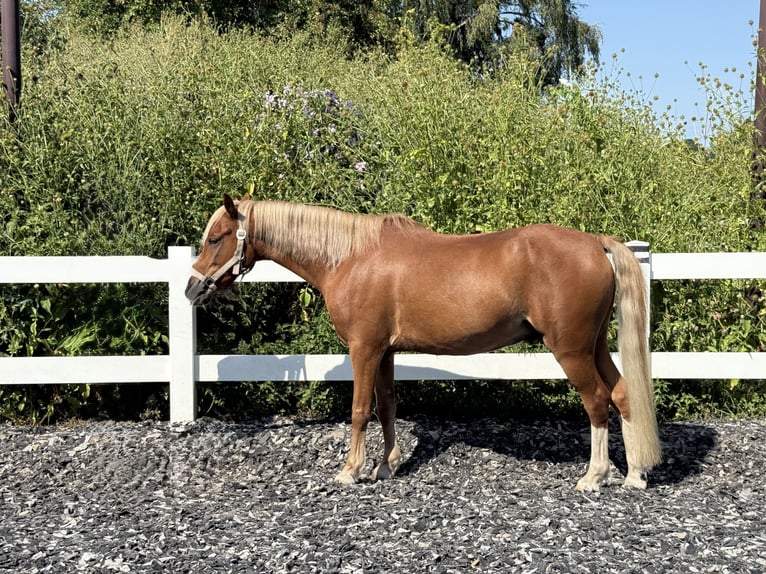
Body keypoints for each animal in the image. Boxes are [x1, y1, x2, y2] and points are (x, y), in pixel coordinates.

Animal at [186, 194, 661, 490]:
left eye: (216, 238)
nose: (191, 289)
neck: (350, 258)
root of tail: (596, 243)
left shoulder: (363, 348)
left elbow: (359, 410)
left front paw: (350, 470)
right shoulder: (385, 352)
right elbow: (387, 406)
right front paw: (386, 466)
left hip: (571, 350)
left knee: (597, 401)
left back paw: (594, 477)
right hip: (594, 346)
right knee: (622, 395)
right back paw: (634, 475)